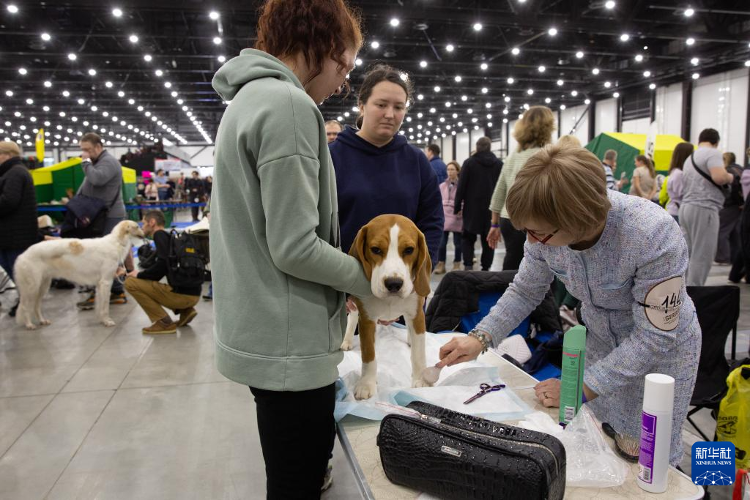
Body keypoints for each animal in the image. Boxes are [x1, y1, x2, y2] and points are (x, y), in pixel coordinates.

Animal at [15, 221, 145, 330]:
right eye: (137, 226)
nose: (144, 235)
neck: (115, 242)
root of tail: (22, 255)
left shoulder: (100, 285)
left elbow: (100, 305)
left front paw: (102, 320)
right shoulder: (106, 282)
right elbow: (105, 307)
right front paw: (107, 321)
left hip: (43, 285)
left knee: (36, 306)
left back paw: (42, 320)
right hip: (31, 288)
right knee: (25, 306)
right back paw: (29, 324)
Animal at [342, 214, 434, 398]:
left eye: (409, 250)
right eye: (376, 249)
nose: (394, 283)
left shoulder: (416, 314)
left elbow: (419, 354)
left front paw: (421, 379)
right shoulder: (367, 320)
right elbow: (368, 356)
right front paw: (366, 384)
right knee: (352, 319)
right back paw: (347, 340)